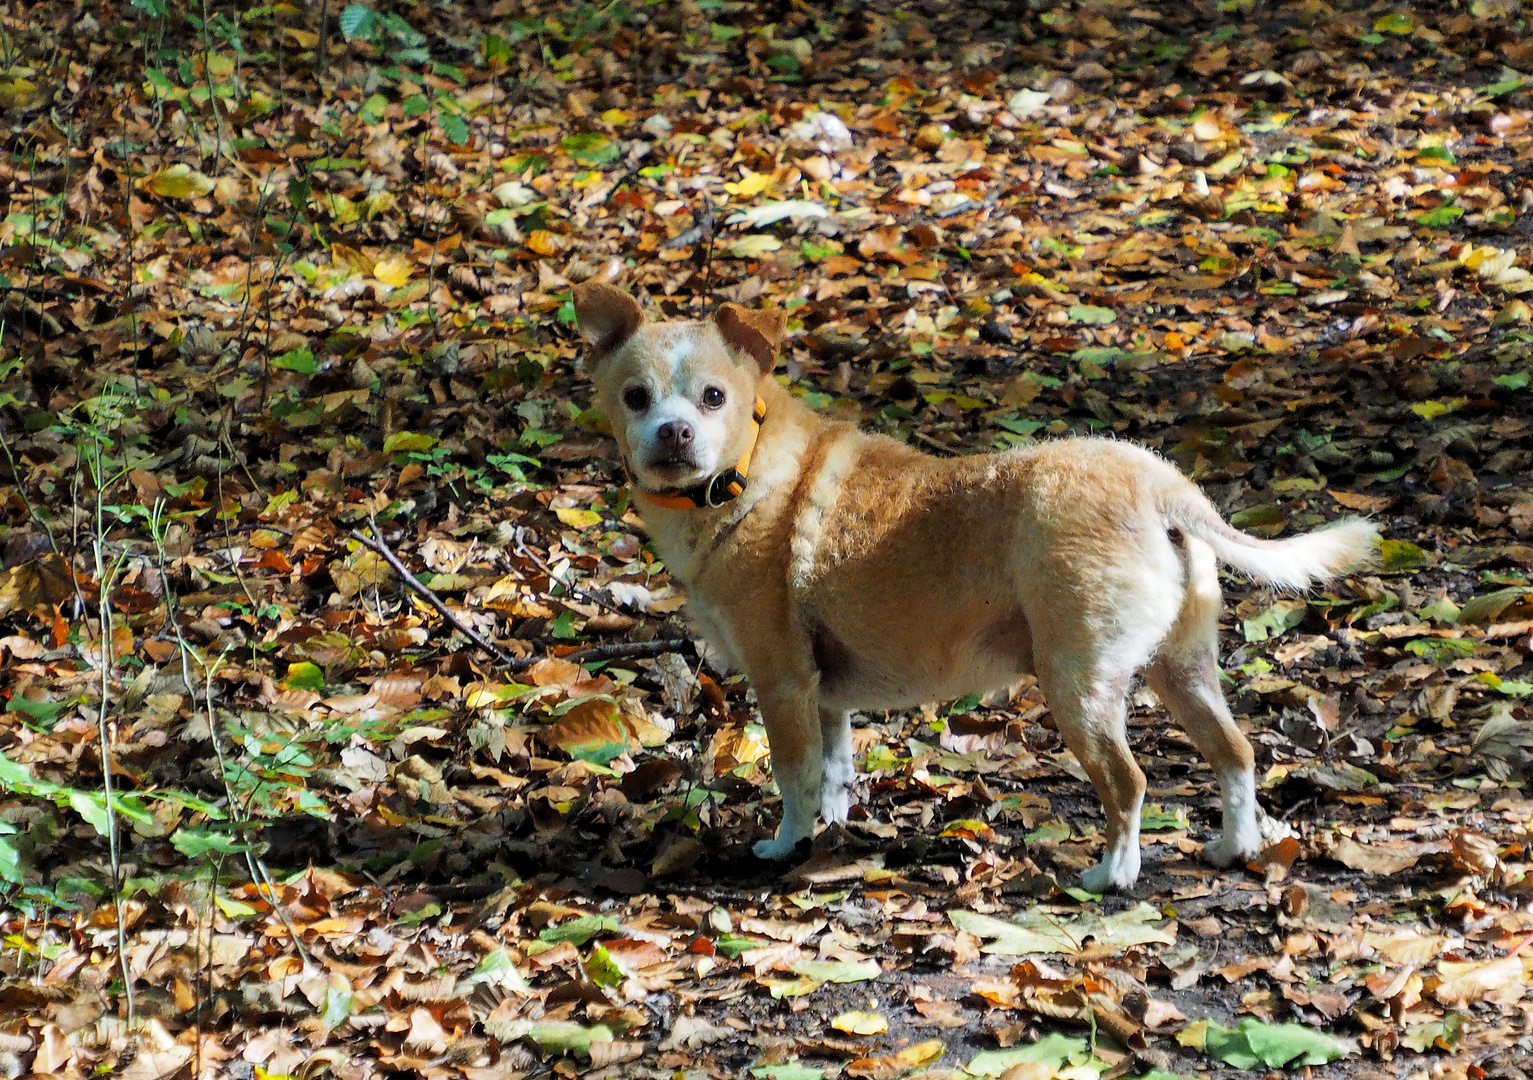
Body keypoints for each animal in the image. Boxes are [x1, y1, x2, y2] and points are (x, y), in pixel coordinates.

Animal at [573, 281, 1379, 888]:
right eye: (636, 398)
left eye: (713, 398)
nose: (673, 433)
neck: (738, 475)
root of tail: (1160, 486)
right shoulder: (826, 694)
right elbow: (835, 773)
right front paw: (830, 833)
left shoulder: (783, 682)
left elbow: (794, 775)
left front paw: (786, 847)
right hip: (1181, 667)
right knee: (1235, 753)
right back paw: (1232, 848)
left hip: (1077, 682)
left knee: (1127, 783)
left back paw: (1110, 875)